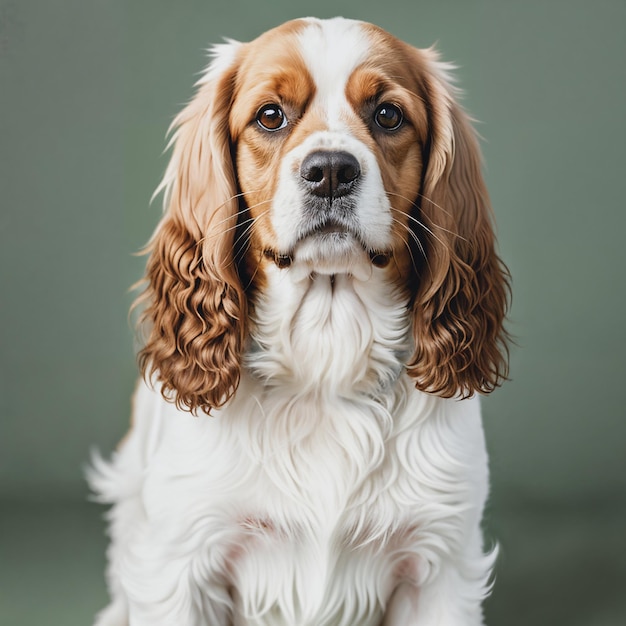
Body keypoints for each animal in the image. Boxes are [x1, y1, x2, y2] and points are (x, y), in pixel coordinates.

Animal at [89, 15, 508, 624]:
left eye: (388, 114)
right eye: (270, 115)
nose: (331, 171)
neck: (324, 363)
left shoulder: (439, 564)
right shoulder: (180, 561)